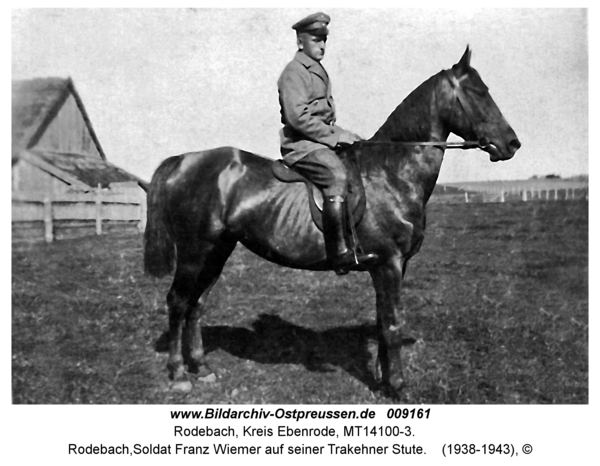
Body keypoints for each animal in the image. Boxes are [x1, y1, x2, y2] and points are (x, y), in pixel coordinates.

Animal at [144, 47, 520, 396]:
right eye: (478, 92)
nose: (512, 144)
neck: (391, 171)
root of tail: (183, 161)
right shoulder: (389, 264)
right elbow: (392, 324)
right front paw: (398, 386)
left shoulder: (392, 267)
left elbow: (382, 320)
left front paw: (382, 380)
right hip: (194, 252)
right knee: (178, 302)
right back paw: (179, 375)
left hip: (217, 250)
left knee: (197, 304)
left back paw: (202, 367)